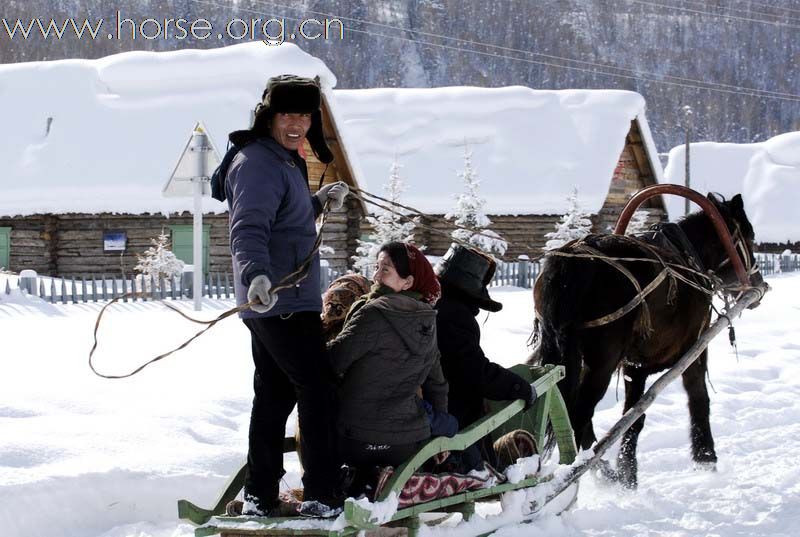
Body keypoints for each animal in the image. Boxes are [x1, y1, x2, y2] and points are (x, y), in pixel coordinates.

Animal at [532, 192, 764, 486]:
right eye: (750, 237)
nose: (759, 283)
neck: (690, 258)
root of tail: (571, 263)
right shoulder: (695, 348)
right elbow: (697, 397)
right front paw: (706, 458)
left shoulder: (635, 365)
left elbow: (633, 417)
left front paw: (627, 473)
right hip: (601, 363)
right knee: (578, 417)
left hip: (564, 353)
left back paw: (603, 472)